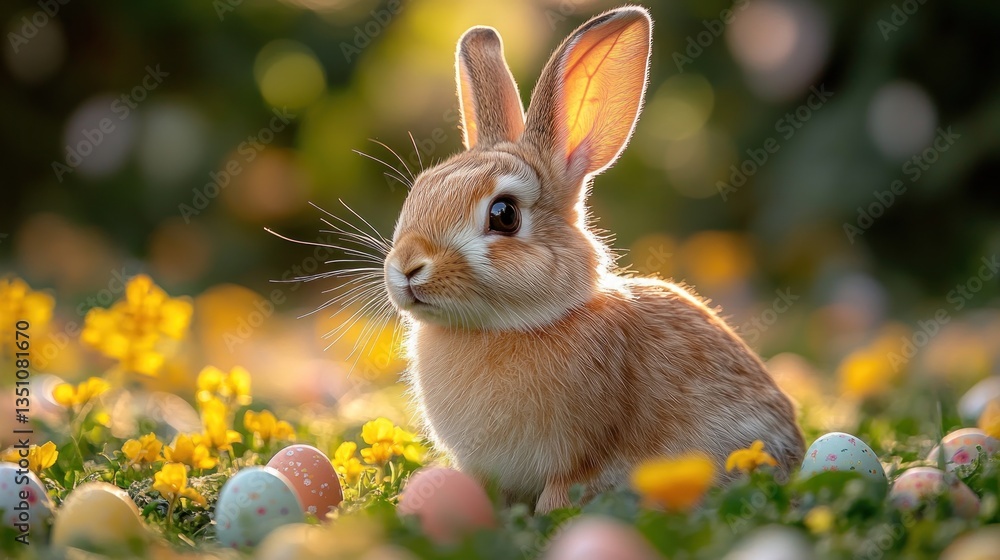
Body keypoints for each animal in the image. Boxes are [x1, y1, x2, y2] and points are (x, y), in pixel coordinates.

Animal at [381, 5, 805, 513]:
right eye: (419, 190)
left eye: (504, 215)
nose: (407, 266)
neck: (503, 326)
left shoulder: (577, 460)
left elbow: (558, 498)